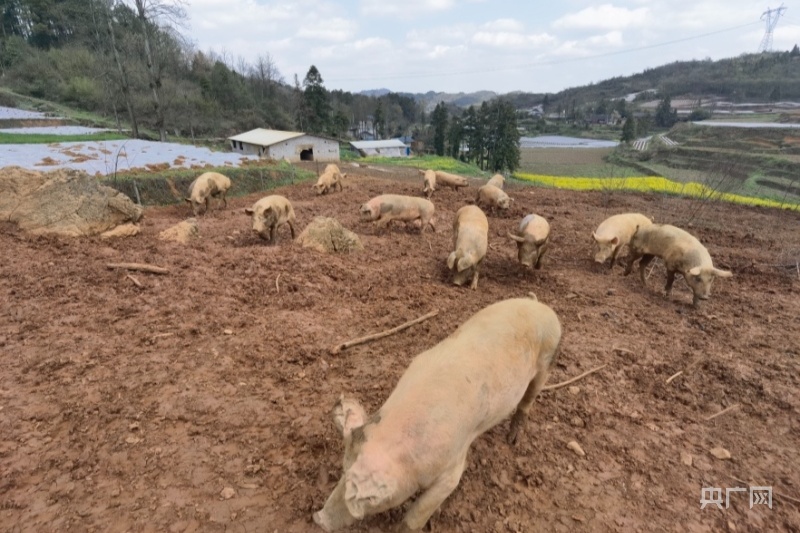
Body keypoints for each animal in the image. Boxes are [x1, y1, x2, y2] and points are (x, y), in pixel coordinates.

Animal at [312, 298, 564, 528]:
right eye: (343, 470)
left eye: (368, 500)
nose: (319, 519)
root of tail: (540, 305)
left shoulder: (452, 469)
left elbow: (417, 515)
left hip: (547, 360)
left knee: (529, 398)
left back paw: (512, 440)